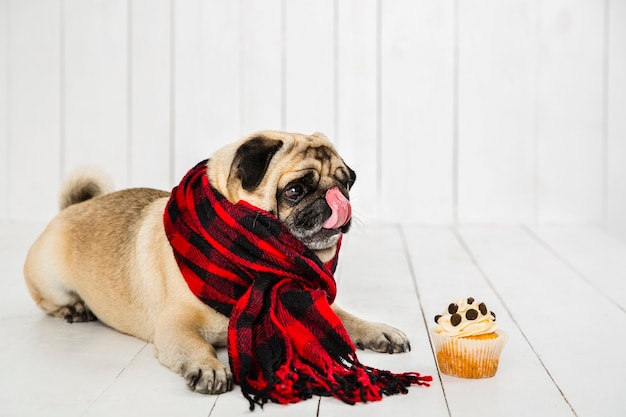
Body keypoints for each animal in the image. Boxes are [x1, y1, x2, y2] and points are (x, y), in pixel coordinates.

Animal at [23, 132, 410, 394]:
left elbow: (346, 317)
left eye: (346, 183)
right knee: (49, 302)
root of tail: (73, 208)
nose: (336, 197)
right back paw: (74, 309)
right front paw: (208, 368)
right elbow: (197, 346)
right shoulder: (174, 327)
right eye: (295, 190)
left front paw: (378, 331)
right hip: (50, 277)